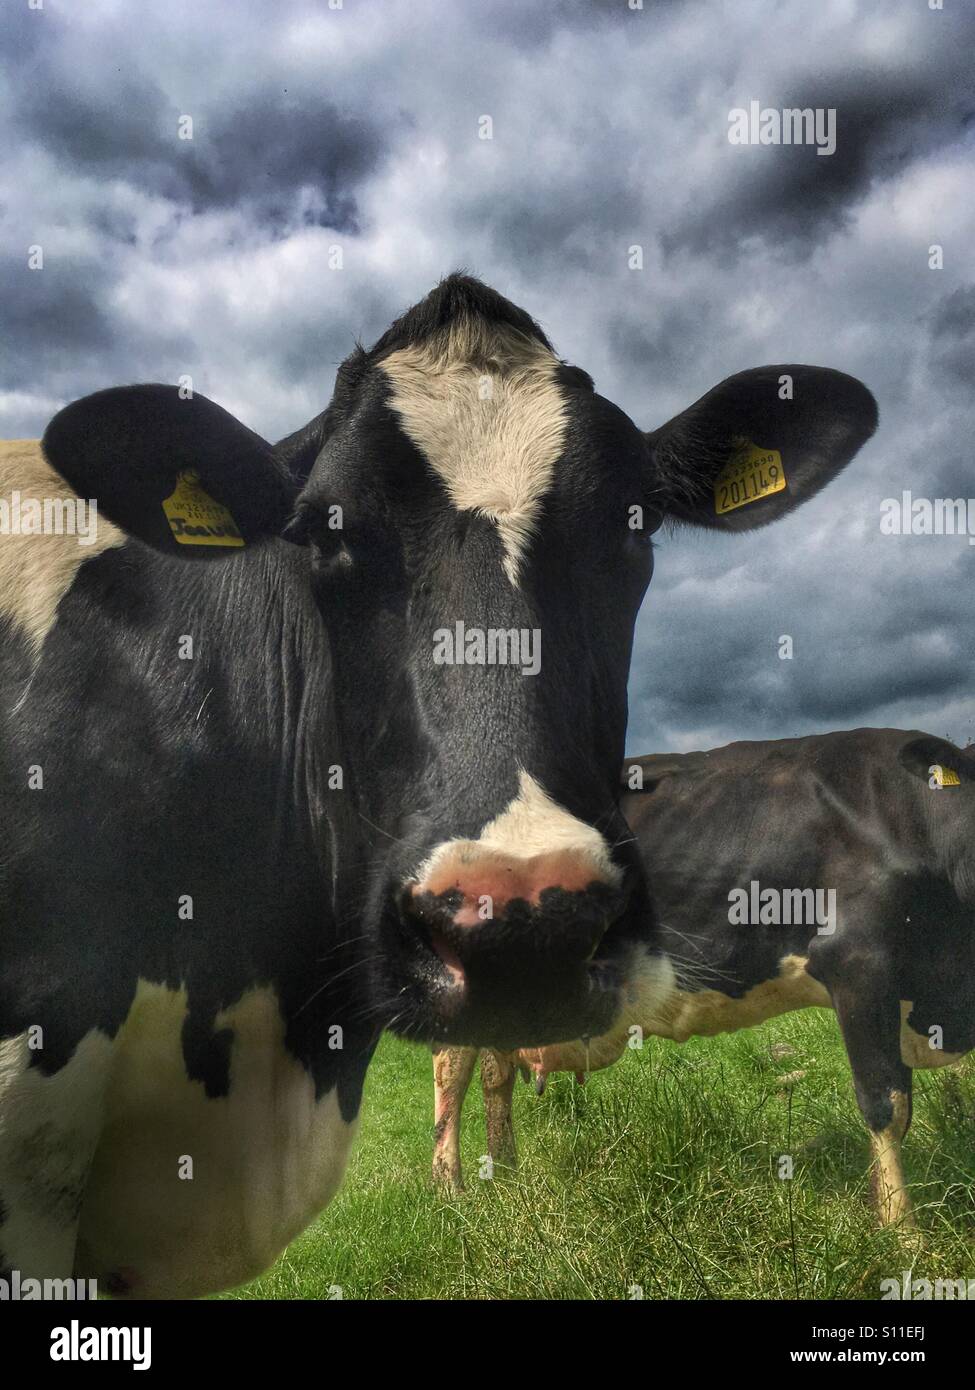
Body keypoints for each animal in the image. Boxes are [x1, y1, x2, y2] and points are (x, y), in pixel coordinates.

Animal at [433, 728, 973, 1228]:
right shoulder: (857, 964)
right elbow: (886, 1106)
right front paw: (903, 1233)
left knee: (496, 1073)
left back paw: (506, 1174)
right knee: (452, 1071)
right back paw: (451, 1191)